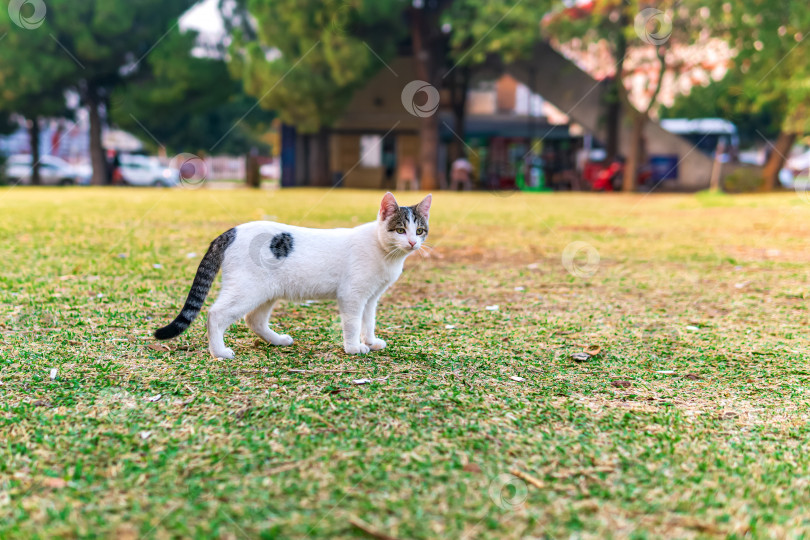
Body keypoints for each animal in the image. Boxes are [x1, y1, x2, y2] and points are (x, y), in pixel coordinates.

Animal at [153, 193, 430, 358]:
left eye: (419, 230)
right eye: (400, 229)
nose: (412, 243)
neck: (386, 253)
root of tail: (232, 231)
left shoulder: (371, 298)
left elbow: (368, 322)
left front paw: (371, 342)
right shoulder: (352, 296)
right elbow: (352, 324)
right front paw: (353, 348)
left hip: (266, 293)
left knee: (254, 320)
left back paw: (276, 340)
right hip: (247, 290)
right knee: (215, 314)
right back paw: (219, 351)